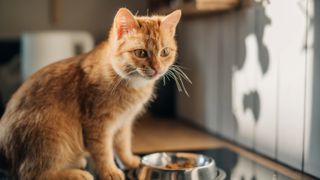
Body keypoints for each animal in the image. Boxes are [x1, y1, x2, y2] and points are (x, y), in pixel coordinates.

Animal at [0, 7, 181, 179]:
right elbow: (103, 152)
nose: (157, 68)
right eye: (141, 53)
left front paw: (129, 161)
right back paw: (77, 174)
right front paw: (110, 171)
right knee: (31, 173)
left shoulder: (124, 123)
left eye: (165, 52)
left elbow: (122, 145)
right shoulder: (97, 125)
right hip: (53, 136)